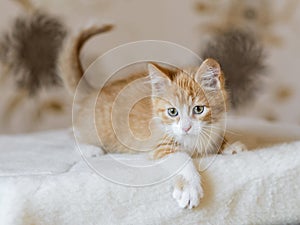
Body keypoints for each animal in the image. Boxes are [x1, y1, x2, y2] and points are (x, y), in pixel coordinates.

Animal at [58, 25, 251, 209]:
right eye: (172, 112)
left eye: (198, 109)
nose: (186, 127)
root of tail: (95, 92)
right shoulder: (161, 144)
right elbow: (182, 159)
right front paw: (189, 187)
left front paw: (230, 146)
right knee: (72, 133)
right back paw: (91, 149)